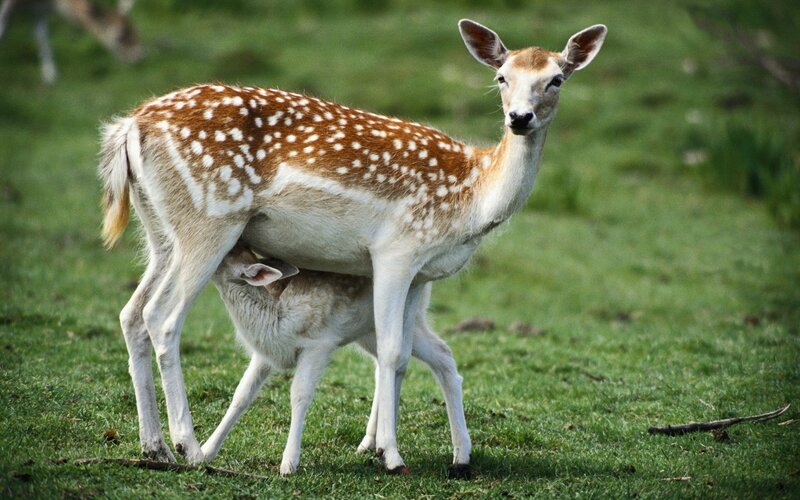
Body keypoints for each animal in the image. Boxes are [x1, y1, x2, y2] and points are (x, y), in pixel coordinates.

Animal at [0, 0, 141, 84]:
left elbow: (42, 37)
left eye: (135, 30)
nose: (139, 55)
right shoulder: (11, 3)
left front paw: (51, 77)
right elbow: (3, 27)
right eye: (120, 36)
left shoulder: (39, 11)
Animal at [203, 244, 471, 476]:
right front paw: (206, 451)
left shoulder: (318, 344)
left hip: (411, 319)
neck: (276, 318)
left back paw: (459, 455)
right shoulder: (265, 354)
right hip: (368, 331)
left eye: (227, 251)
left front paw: (288, 464)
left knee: (441, 354)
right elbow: (241, 395)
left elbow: (299, 395)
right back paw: (369, 443)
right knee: (385, 365)